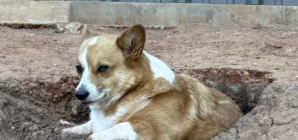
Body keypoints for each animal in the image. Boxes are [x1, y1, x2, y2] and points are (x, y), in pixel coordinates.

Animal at [61, 24, 243, 139]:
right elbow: (89, 125)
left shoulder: (147, 128)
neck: (134, 91)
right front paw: (70, 129)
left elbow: (99, 134)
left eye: (103, 68)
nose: (79, 95)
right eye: (79, 68)